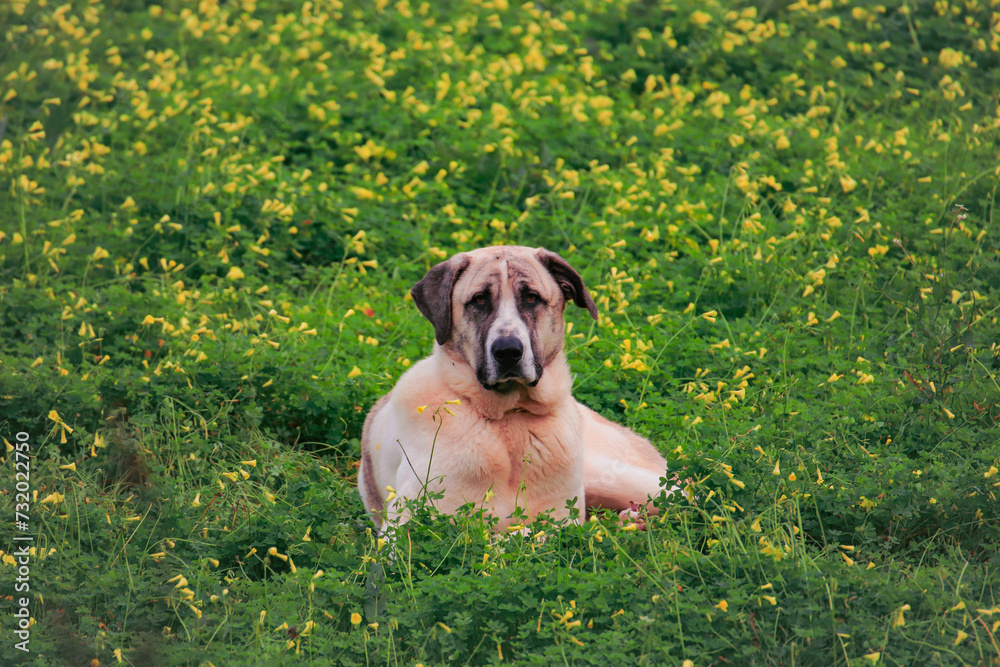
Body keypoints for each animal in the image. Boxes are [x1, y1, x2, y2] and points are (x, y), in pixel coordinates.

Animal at [356, 247, 676, 532]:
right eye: (479, 300)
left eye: (532, 298)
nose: (508, 351)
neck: (507, 420)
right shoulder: (406, 530)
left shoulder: (562, 516)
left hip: (613, 478)